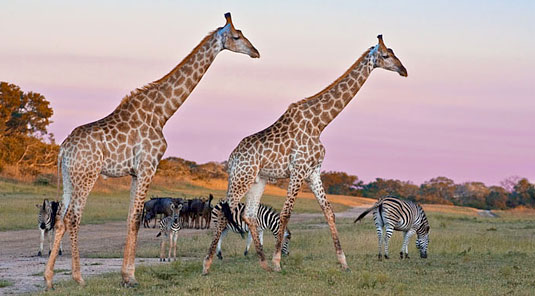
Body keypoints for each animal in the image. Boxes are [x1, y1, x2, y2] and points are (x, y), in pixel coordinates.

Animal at [44, 12, 258, 290]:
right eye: (236, 36)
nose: (255, 52)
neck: (162, 113)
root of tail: (63, 149)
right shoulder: (148, 165)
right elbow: (136, 219)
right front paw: (130, 278)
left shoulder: (136, 172)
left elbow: (130, 218)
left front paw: (125, 275)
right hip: (86, 175)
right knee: (73, 218)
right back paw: (78, 277)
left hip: (70, 177)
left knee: (60, 217)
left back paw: (49, 279)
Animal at [203, 33, 408, 274]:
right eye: (385, 55)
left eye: (394, 53)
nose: (403, 70)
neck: (320, 123)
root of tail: (231, 158)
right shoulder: (298, 170)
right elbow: (286, 213)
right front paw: (277, 261)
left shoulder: (313, 172)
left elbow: (329, 211)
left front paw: (344, 262)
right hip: (240, 179)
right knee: (225, 214)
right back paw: (207, 265)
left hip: (257, 180)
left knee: (249, 214)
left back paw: (263, 263)